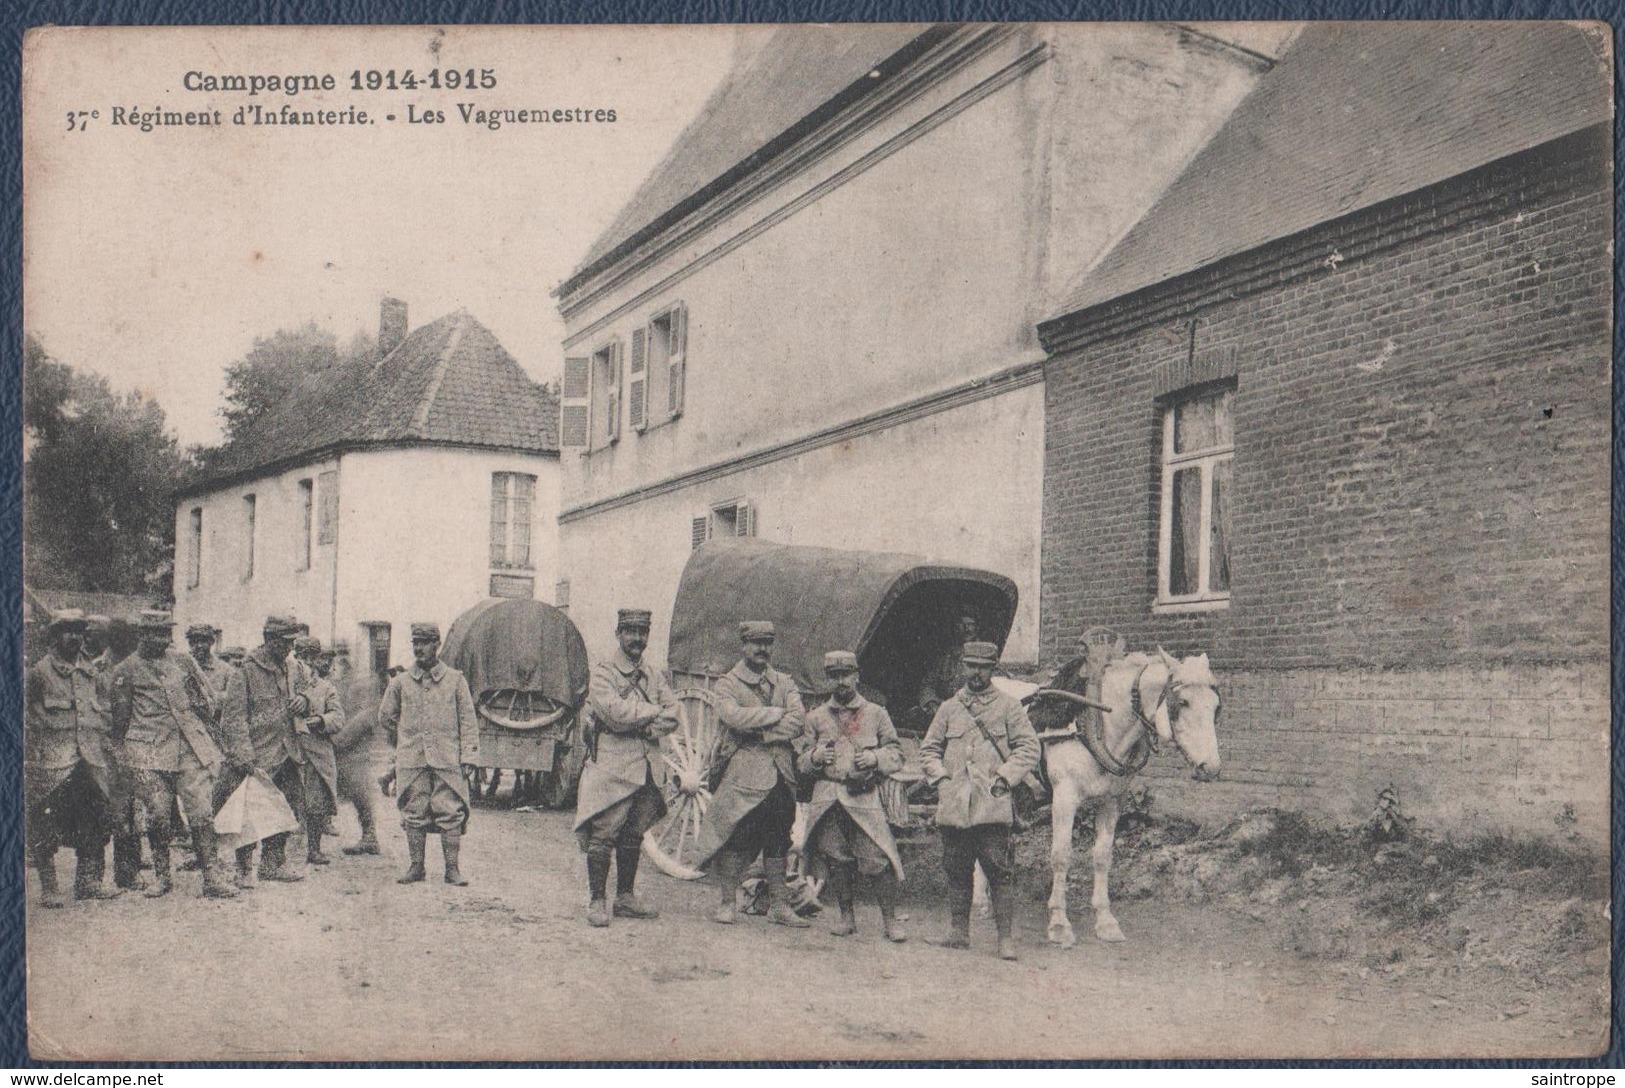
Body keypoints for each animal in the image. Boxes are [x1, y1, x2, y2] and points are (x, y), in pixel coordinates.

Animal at [1027, 649, 1222, 948]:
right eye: (1182, 702)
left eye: (1216, 707)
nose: (1210, 768)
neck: (1094, 723)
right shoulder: (1064, 797)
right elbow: (1061, 856)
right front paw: (1059, 923)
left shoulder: (1111, 801)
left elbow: (1102, 856)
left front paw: (1105, 921)